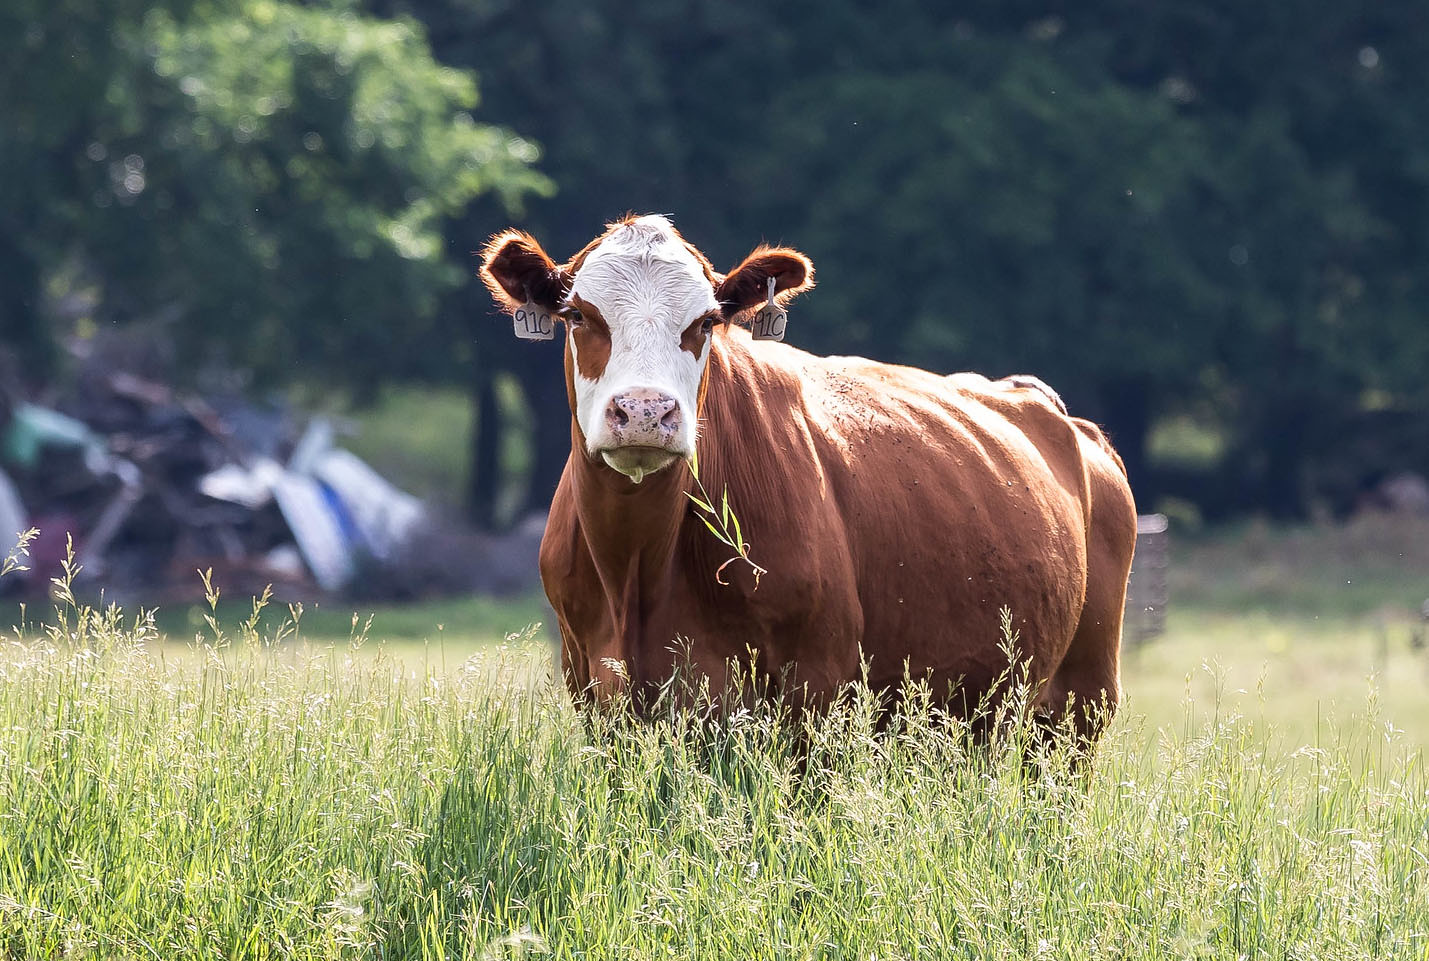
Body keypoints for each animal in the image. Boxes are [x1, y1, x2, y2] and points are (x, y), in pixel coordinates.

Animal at [480, 211, 1137, 737]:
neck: (638, 571)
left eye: (705, 322)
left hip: (1080, 700)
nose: (644, 410)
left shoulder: (813, 688)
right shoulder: (595, 686)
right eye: (577, 315)